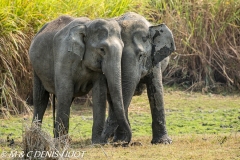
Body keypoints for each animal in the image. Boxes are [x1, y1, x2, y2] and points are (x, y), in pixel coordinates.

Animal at [29, 15, 132, 144]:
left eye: (123, 47)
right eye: (102, 49)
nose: (122, 143)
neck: (87, 26)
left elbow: (99, 93)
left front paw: (97, 143)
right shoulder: (64, 56)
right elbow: (65, 92)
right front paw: (60, 143)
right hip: (35, 68)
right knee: (41, 99)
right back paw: (35, 136)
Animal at [102, 11, 175, 144]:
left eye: (141, 55)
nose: (104, 140)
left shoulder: (154, 59)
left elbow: (156, 90)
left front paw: (163, 142)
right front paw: (120, 141)